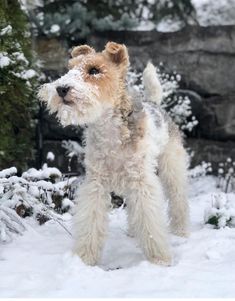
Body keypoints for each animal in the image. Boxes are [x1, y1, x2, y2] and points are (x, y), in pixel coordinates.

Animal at [38, 41, 189, 264]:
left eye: (94, 70)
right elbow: (91, 222)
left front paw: (159, 259)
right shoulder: (96, 184)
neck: (109, 127)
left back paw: (181, 232)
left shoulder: (141, 181)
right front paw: (85, 259)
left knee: (178, 200)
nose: (61, 88)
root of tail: (155, 103)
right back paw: (134, 232)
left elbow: (150, 220)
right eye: (70, 68)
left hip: (171, 169)